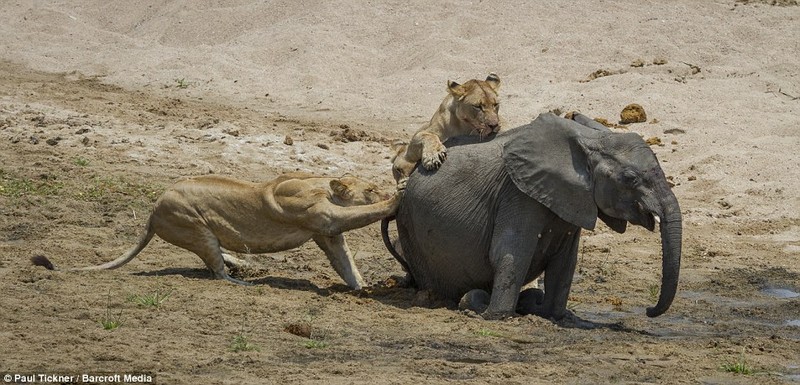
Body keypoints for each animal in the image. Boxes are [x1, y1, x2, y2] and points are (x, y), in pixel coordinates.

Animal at [33, 172, 404, 288]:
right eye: (371, 188)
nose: (385, 189)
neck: (320, 184)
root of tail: (152, 211)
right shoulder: (322, 217)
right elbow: (360, 213)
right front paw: (395, 199)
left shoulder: (328, 234)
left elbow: (347, 265)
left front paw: (362, 288)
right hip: (194, 226)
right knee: (216, 272)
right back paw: (244, 279)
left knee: (218, 262)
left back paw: (243, 265)